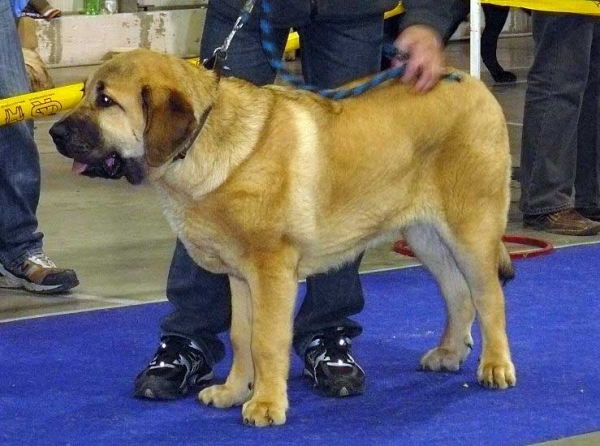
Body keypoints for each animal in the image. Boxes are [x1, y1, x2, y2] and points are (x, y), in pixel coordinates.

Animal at [50, 48, 516, 426]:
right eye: (86, 92)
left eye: (106, 101)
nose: (55, 133)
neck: (202, 142)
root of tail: (471, 82)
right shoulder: (240, 277)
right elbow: (241, 337)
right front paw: (234, 391)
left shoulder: (271, 273)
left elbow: (267, 341)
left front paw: (266, 405)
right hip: (424, 235)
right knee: (458, 294)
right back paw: (449, 353)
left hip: (470, 228)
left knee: (489, 296)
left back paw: (495, 366)